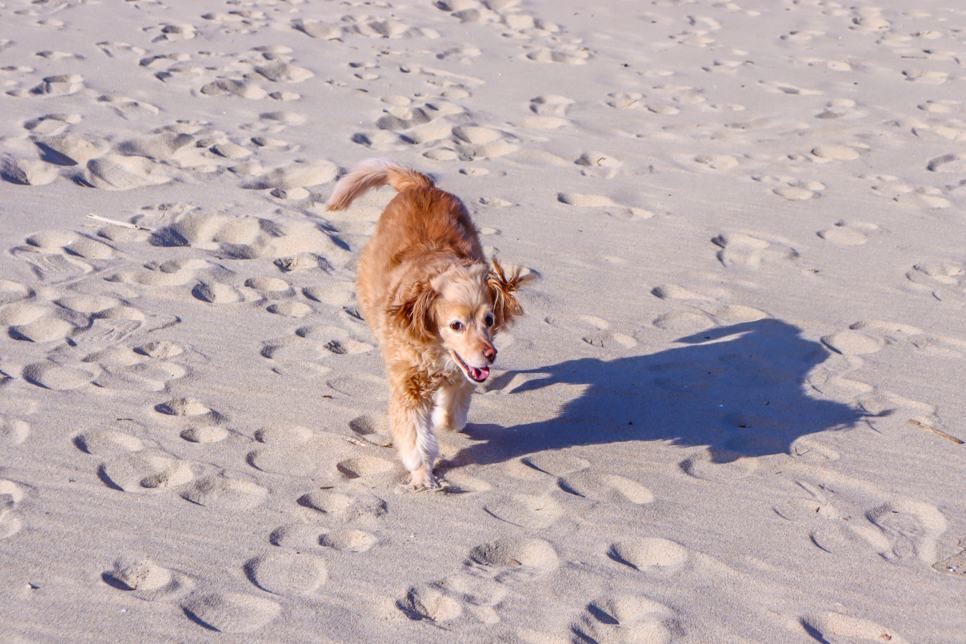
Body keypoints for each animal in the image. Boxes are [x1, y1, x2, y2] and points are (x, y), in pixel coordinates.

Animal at [328, 160, 532, 488]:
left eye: (488, 319)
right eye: (456, 325)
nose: (491, 355)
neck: (435, 350)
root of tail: (421, 186)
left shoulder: (465, 372)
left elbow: (450, 417)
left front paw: (443, 419)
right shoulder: (408, 391)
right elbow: (415, 439)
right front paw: (423, 475)